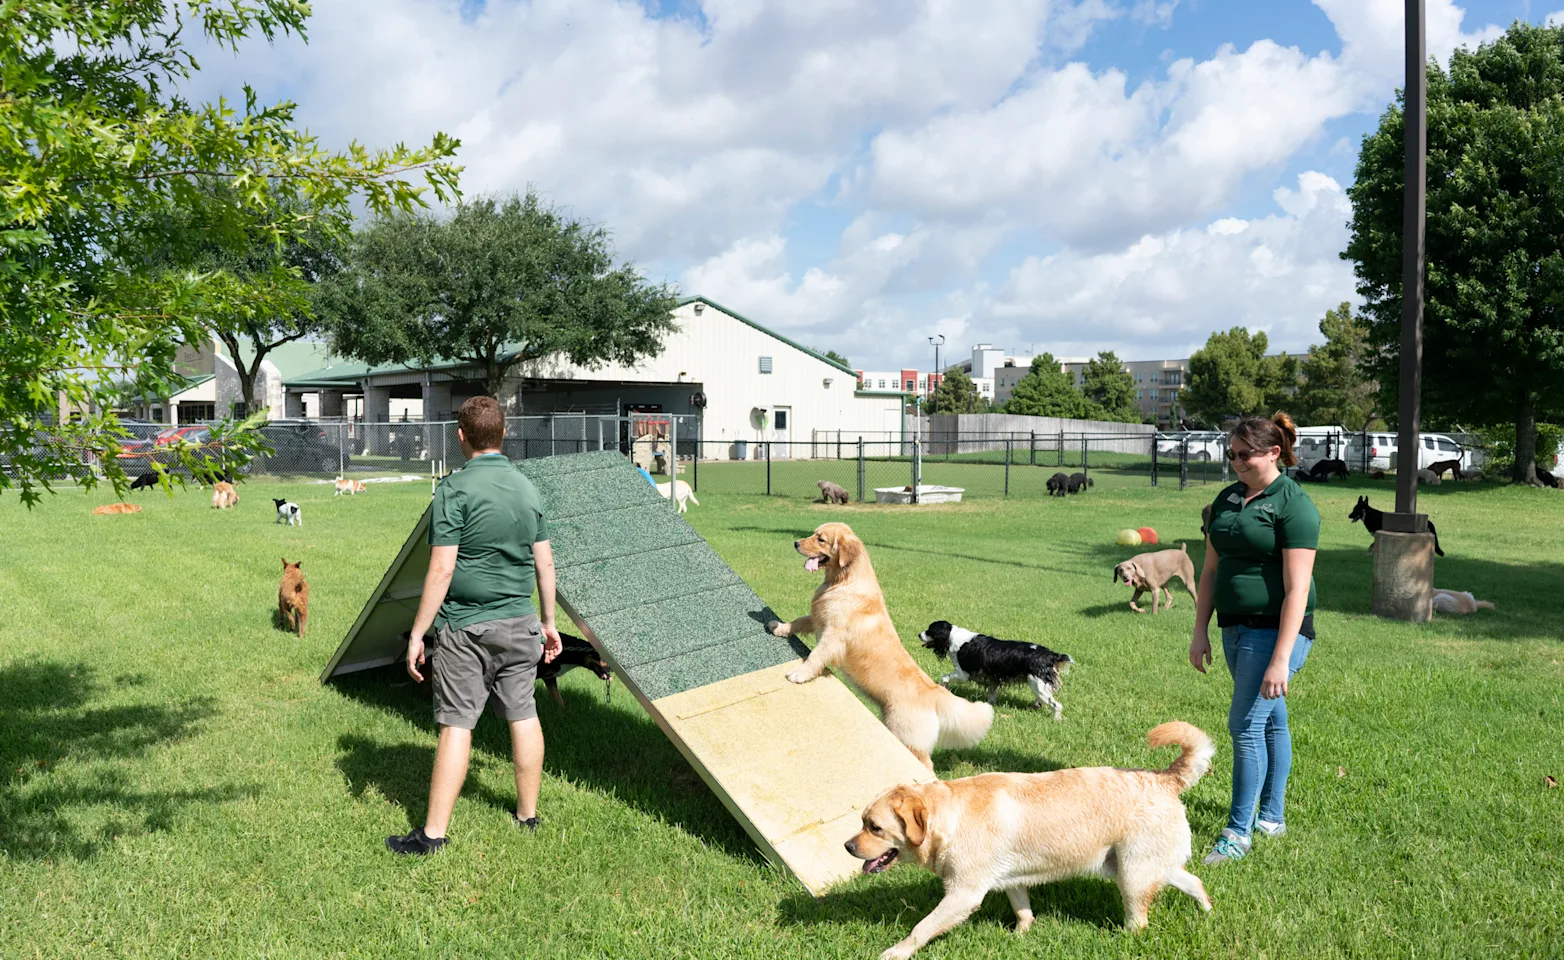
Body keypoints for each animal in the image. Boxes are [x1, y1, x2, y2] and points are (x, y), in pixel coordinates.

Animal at [766, 522, 988, 772]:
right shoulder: (817, 620)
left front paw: (799, 673)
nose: (795, 543)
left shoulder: (834, 635)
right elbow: (798, 621)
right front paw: (779, 627)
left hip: (906, 736)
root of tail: (934, 692)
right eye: (814, 534)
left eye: (820, 539)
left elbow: (816, 655)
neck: (843, 581)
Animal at [850, 725, 1213, 956]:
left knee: (1139, 922)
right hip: (1142, 866)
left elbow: (921, 928)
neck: (950, 816)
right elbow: (1022, 909)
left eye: (875, 827)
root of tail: (1164, 778)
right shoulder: (1010, 878)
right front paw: (1020, 936)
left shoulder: (963, 895)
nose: (848, 846)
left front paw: (895, 952)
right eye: (862, 821)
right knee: (1195, 882)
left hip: (1133, 875)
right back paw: (1207, 913)